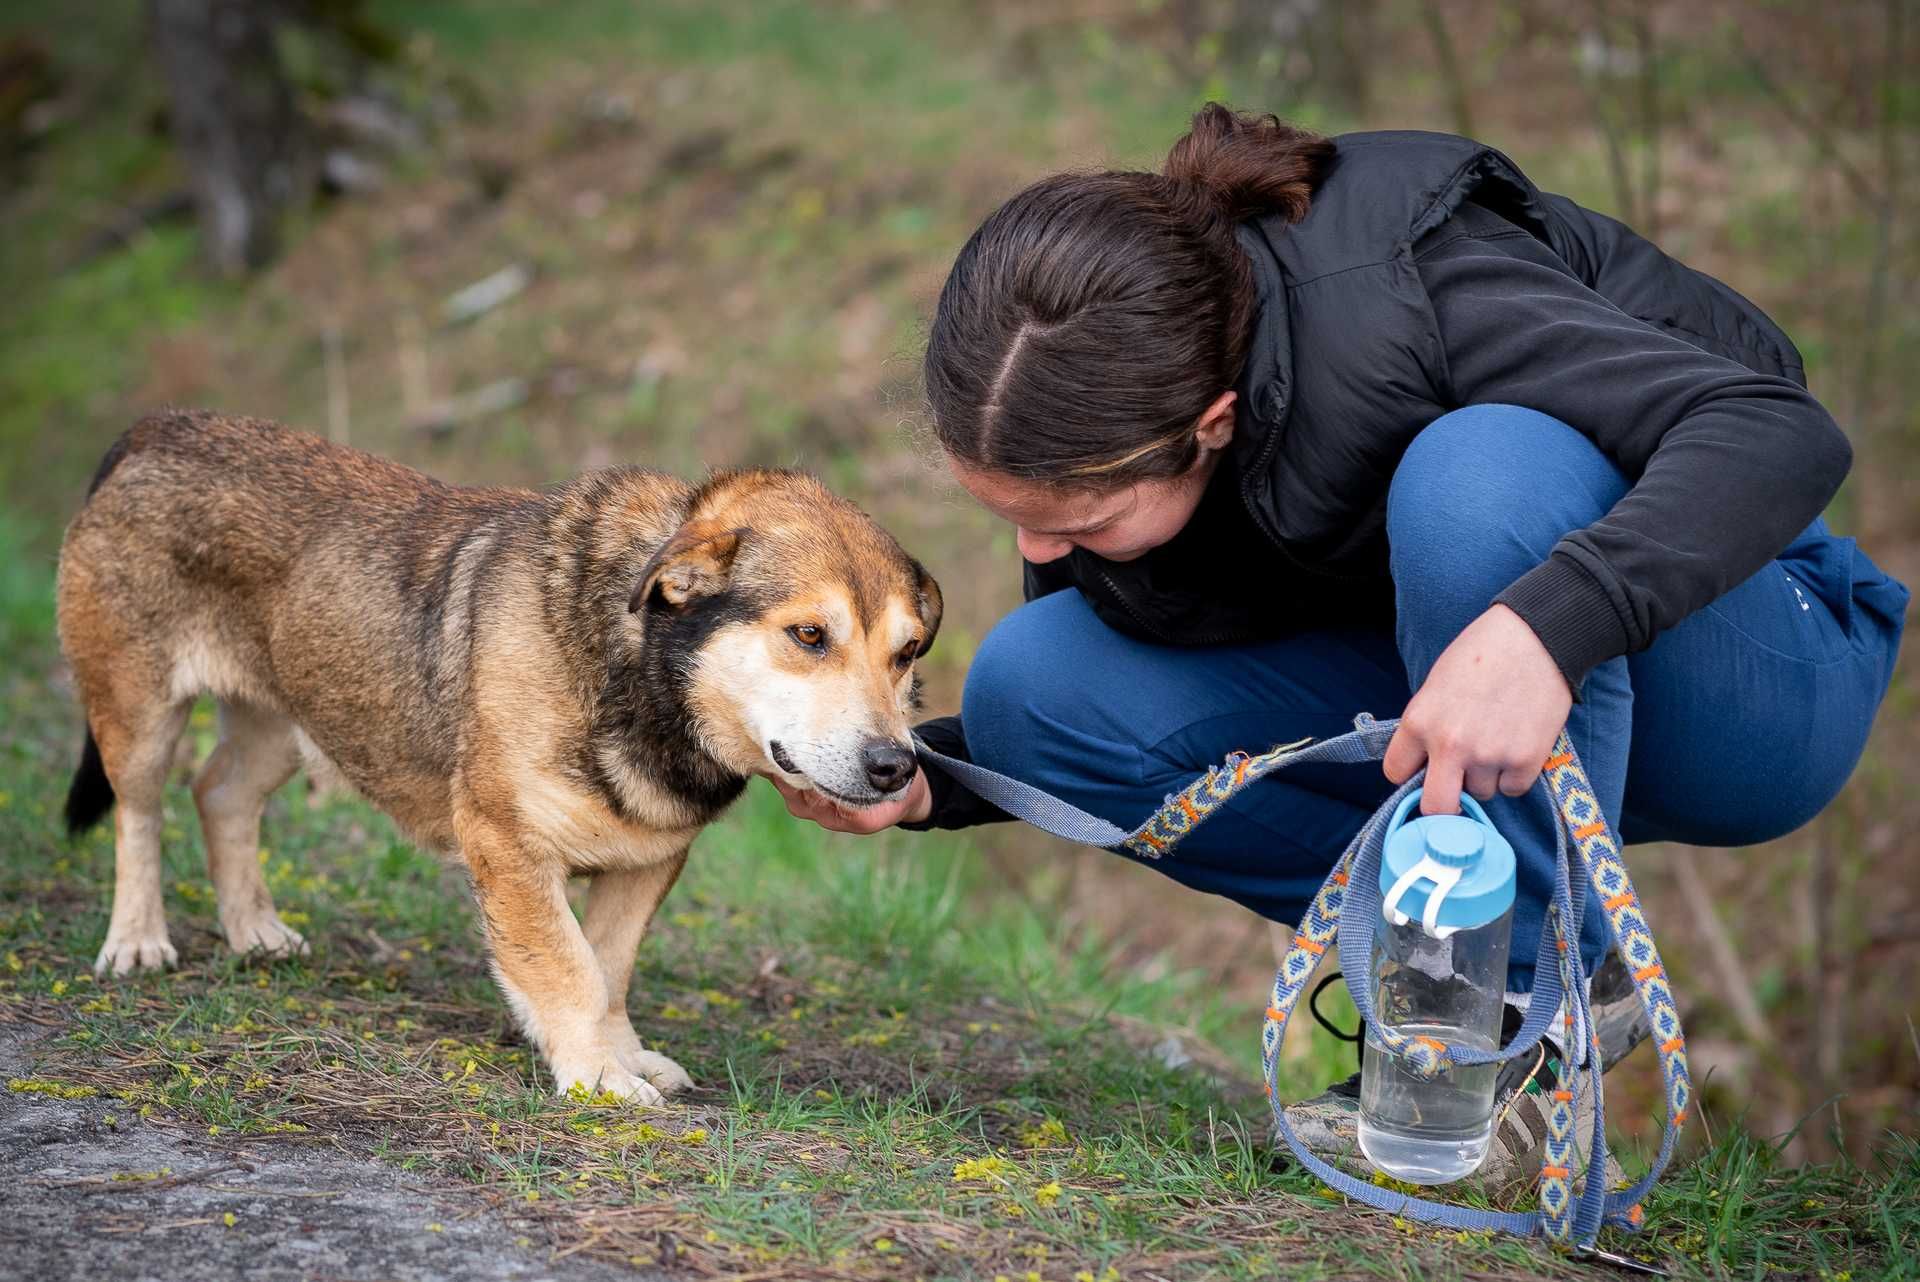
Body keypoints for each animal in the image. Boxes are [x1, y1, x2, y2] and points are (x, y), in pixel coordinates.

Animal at [63, 410, 948, 1105]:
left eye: (906, 652)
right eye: (810, 635)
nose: (894, 769)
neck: (634, 666)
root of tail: (159, 427)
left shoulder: (648, 862)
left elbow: (610, 969)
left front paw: (621, 1056)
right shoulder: (508, 846)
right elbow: (567, 966)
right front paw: (598, 1077)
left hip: (288, 718)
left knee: (220, 791)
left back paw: (254, 931)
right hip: (139, 712)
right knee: (140, 812)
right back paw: (136, 942)